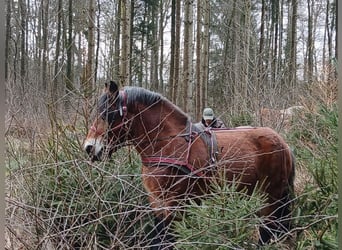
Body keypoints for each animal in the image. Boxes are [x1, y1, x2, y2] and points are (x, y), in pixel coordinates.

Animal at [84, 81, 296, 249]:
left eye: (109, 114)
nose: (89, 147)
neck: (168, 145)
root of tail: (283, 143)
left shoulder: (174, 205)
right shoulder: (157, 204)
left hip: (270, 197)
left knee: (267, 231)